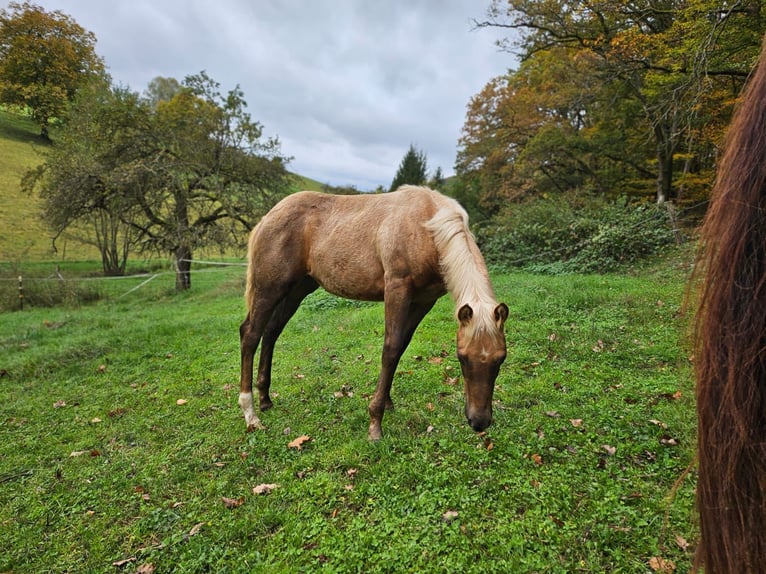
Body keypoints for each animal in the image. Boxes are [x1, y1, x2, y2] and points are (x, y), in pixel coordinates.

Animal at [237, 184, 508, 440]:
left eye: (501, 358)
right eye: (462, 357)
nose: (479, 422)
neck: (426, 227)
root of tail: (267, 217)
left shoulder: (424, 301)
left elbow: (401, 346)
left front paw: (386, 402)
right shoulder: (397, 289)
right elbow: (391, 348)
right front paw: (375, 424)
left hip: (297, 289)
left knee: (271, 332)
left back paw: (265, 399)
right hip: (269, 288)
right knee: (250, 334)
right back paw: (250, 414)